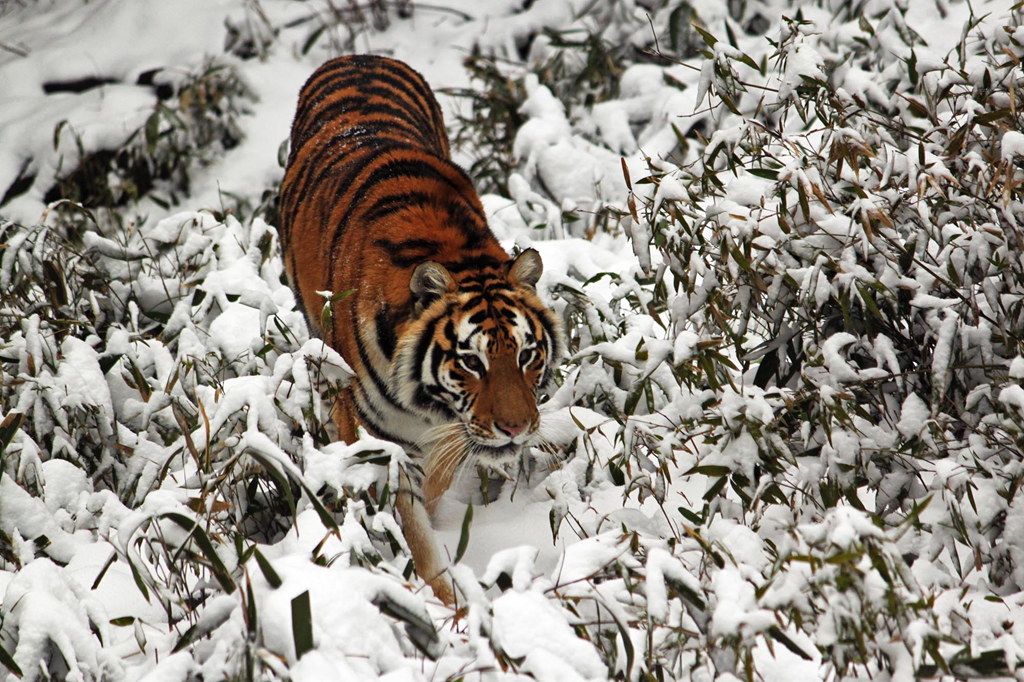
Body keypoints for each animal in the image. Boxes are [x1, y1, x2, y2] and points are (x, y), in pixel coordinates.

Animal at [278, 55, 561, 602]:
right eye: (471, 362)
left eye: (525, 355)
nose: (517, 428)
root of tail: (357, 56)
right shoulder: (379, 439)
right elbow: (414, 531)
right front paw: (450, 606)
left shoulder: (451, 433)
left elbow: (436, 483)